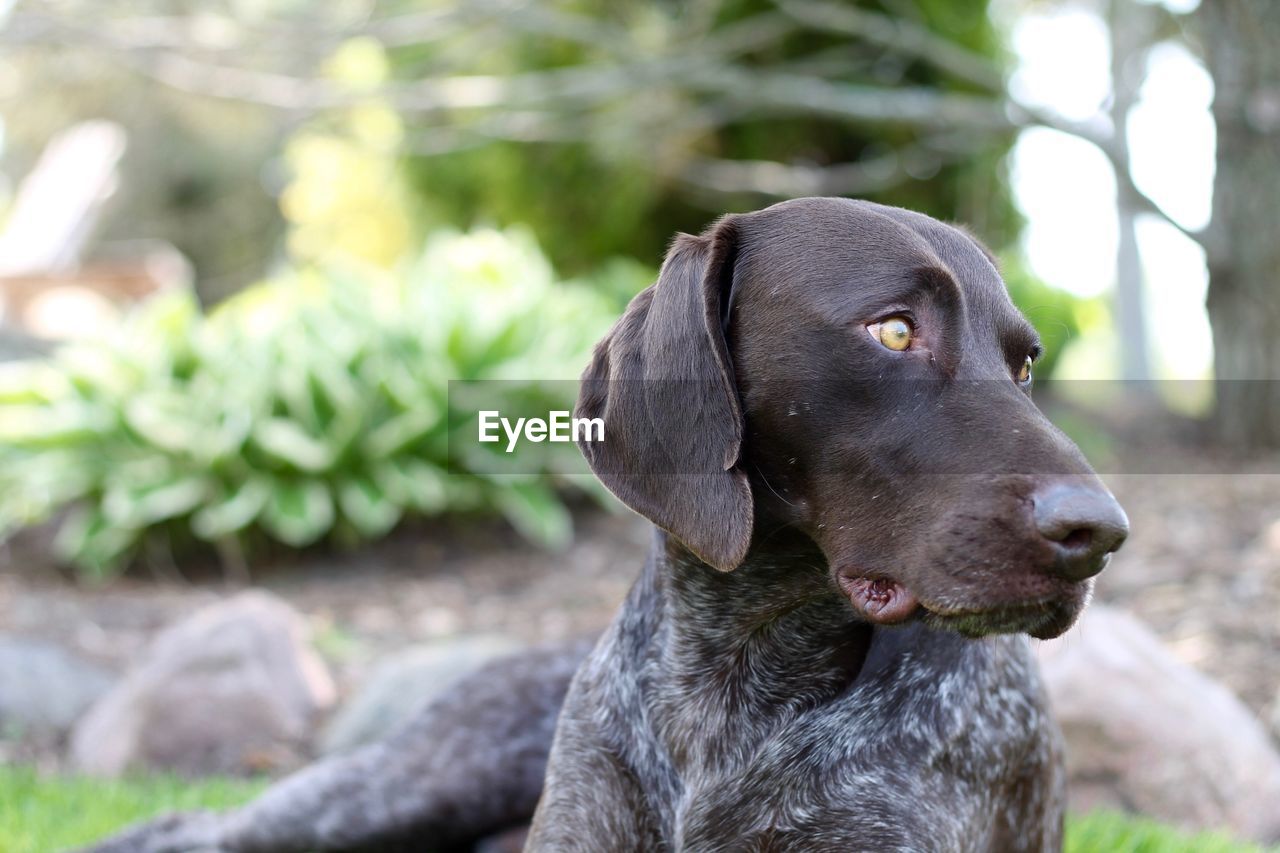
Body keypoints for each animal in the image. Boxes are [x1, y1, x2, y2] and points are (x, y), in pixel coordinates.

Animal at [85, 195, 1126, 845]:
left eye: (1023, 364)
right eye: (895, 330)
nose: (1099, 532)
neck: (734, 683)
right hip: (400, 786)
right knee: (193, 826)